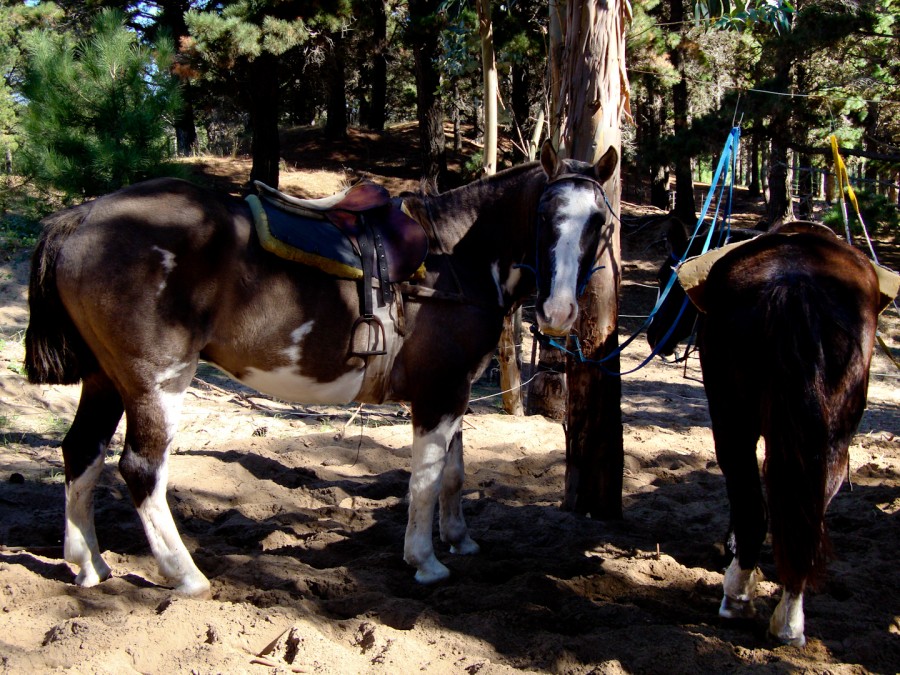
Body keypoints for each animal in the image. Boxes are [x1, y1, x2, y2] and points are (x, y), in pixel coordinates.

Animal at [26, 143, 620, 596]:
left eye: (600, 222)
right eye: (543, 217)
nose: (558, 312)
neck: (454, 257)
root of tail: (81, 217)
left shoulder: (451, 392)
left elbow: (453, 472)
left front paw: (459, 539)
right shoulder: (438, 395)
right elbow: (427, 480)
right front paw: (425, 560)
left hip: (105, 379)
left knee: (80, 452)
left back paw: (88, 564)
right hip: (158, 381)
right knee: (140, 469)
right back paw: (186, 574)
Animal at [652, 220, 896, 644]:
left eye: (666, 276)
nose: (652, 335)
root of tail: (794, 284)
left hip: (736, 421)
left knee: (758, 504)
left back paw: (743, 596)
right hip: (824, 437)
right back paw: (783, 617)